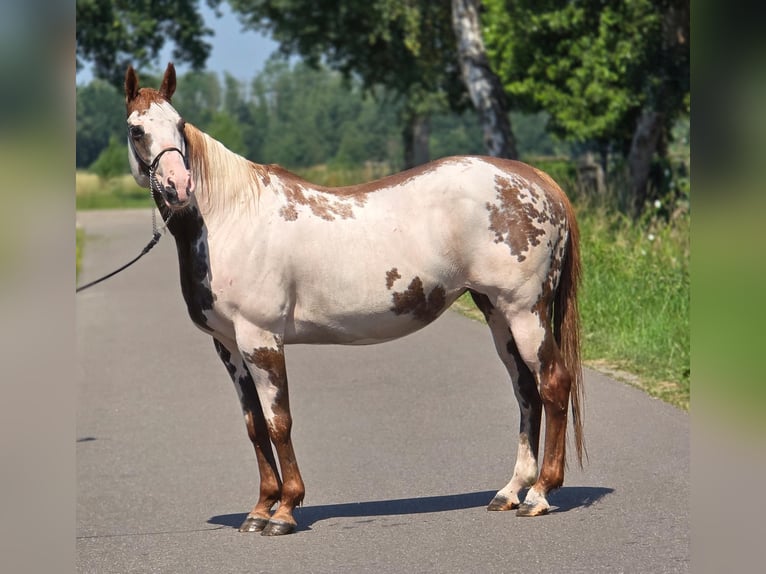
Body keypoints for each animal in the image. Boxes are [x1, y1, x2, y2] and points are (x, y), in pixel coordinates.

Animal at [124, 63, 585, 536]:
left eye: (179, 124)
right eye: (136, 130)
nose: (179, 186)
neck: (231, 218)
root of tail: (537, 179)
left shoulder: (261, 340)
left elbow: (278, 422)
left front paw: (285, 511)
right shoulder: (229, 345)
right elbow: (254, 426)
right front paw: (260, 508)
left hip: (525, 311)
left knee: (553, 383)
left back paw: (540, 494)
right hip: (496, 312)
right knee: (526, 390)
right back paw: (511, 491)